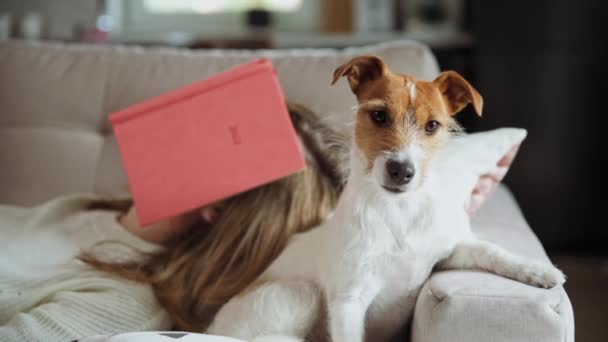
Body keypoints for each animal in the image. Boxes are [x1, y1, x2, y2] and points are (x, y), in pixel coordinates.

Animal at [207, 54, 564, 340]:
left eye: (432, 125)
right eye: (379, 116)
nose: (401, 171)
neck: (399, 211)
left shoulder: (448, 251)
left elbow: (490, 250)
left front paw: (537, 271)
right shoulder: (348, 302)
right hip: (301, 295)